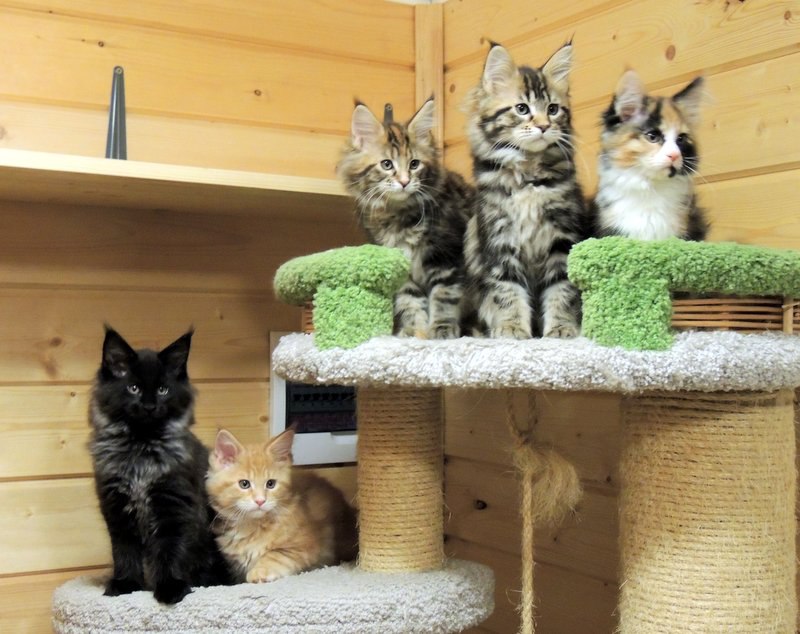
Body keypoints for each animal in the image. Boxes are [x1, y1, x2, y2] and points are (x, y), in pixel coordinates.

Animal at [88, 326, 233, 604]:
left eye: (163, 390)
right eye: (133, 388)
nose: (149, 406)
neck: (140, 451)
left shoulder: (173, 506)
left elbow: (170, 551)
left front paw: (170, 588)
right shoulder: (117, 509)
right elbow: (124, 552)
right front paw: (125, 585)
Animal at [206, 428, 358, 583]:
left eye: (270, 484)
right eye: (244, 484)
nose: (260, 501)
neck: (252, 526)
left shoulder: (304, 547)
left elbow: (274, 555)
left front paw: (258, 572)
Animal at [337, 97, 476, 339]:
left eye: (414, 164)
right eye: (386, 164)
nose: (404, 182)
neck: (399, 217)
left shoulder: (446, 255)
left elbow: (443, 297)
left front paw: (441, 329)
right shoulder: (399, 264)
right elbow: (410, 302)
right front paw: (415, 332)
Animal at [463, 42, 588, 339]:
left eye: (553, 109)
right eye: (522, 108)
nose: (544, 126)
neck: (529, 180)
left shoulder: (562, 239)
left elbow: (561, 290)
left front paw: (561, 328)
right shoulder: (500, 240)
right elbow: (508, 290)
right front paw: (512, 328)